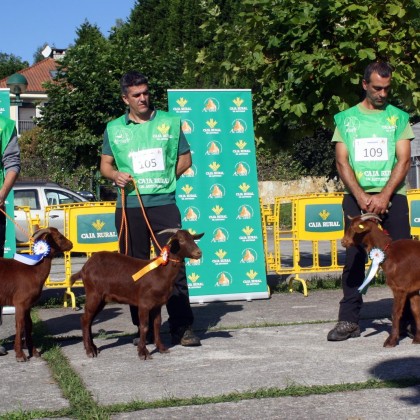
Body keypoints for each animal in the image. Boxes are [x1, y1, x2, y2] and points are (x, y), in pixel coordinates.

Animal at [0, 226, 73, 360]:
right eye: (59, 237)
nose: (71, 244)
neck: (33, 270)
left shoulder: (28, 304)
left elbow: (29, 325)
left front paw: (34, 352)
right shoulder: (20, 303)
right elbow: (20, 325)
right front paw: (20, 355)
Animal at [70, 230, 203, 360]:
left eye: (193, 238)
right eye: (181, 240)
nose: (199, 253)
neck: (161, 272)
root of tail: (83, 268)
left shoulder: (157, 304)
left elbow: (157, 325)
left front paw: (161, 348)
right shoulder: (144, 303)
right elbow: (144, 326)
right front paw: (143, 352)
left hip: (102, 299)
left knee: (89, 320)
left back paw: (93, 348)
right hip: (93, 294)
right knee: (85, 319)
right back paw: (89, 350)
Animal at [342, 213, 420, 348]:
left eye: (354, 228)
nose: (343, 242)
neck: (389, 252)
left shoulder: (400, 288)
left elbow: (395, 313)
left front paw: (391, 341)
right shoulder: (412, 289)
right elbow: (416, 311)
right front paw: (417, 339)